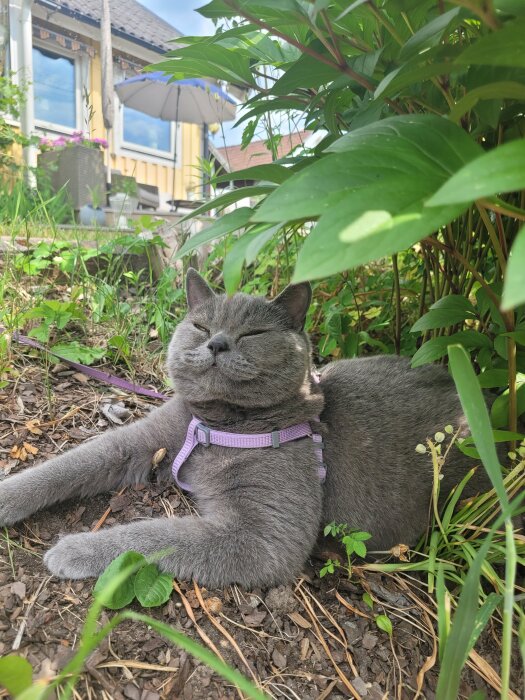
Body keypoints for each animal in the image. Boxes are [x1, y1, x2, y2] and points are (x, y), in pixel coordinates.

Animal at [0, 270, 488, 588]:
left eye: (253, 334)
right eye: (200, 325)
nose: (217, 342)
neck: (216, 425)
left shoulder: (264, 535)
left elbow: (152, 535)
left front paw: (74, 550)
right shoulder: (143, 440)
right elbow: (71, 463)